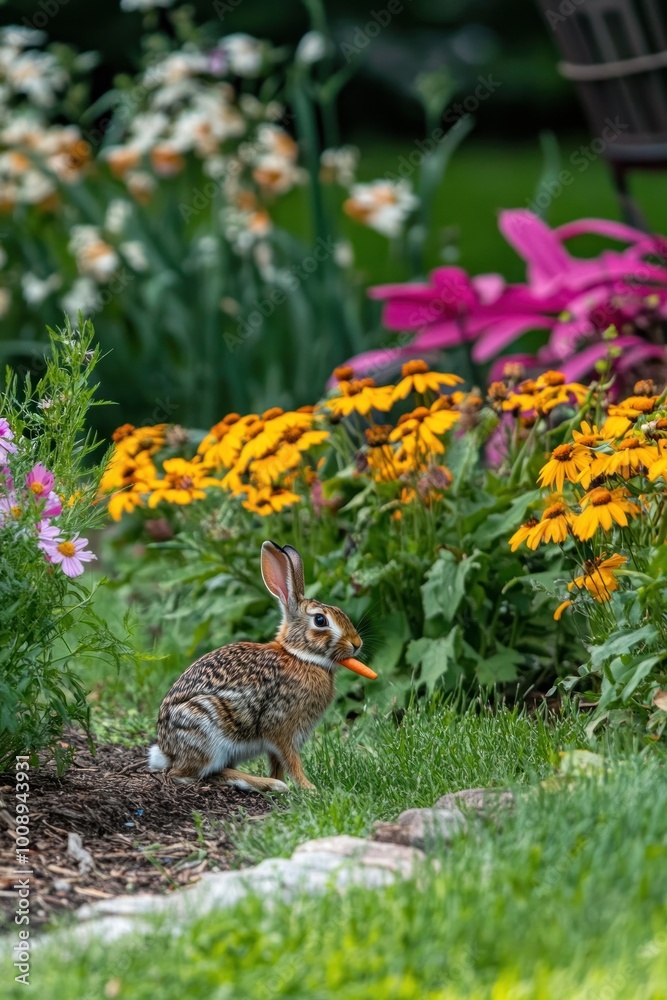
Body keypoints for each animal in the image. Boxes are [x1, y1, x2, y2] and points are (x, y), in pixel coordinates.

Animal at [147, 540, 362, 793]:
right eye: (320, 620)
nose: (357, 644)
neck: (299, 657)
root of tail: (166, 751)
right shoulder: (282, 728)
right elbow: (291, 761)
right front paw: (309, 788)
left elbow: (277, 762)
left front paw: (291, 785)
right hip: (206, 729)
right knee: (189, 774)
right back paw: (266, 783)